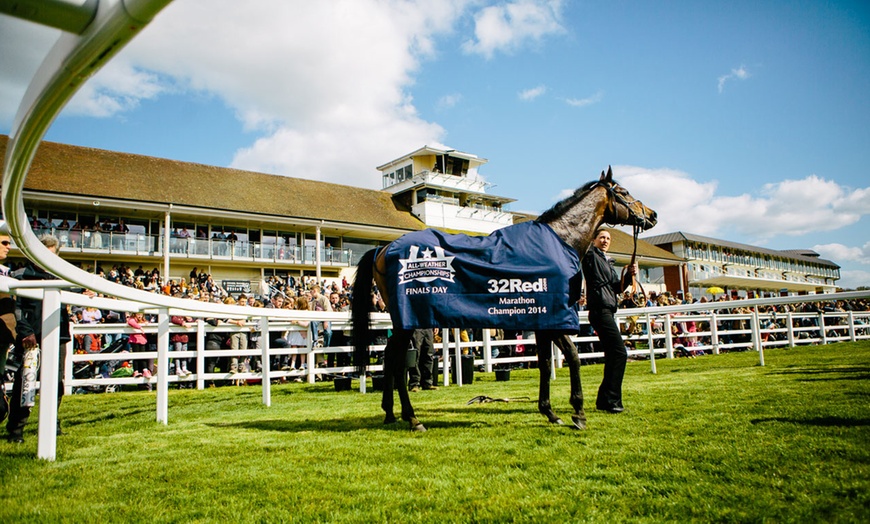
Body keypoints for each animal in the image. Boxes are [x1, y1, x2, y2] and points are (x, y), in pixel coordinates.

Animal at [350, 168, 656, 430]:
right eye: (625, 192)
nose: (652, 215)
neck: (558, 241)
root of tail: (382, 249)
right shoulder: (555, 317)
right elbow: (573, 356)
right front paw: (578, 413)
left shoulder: (541, 319)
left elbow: (545, 363)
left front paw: (550, 412)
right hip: (407, 321)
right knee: (397, 359)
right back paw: (413, 419)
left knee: (391, 358)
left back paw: (391, 413)